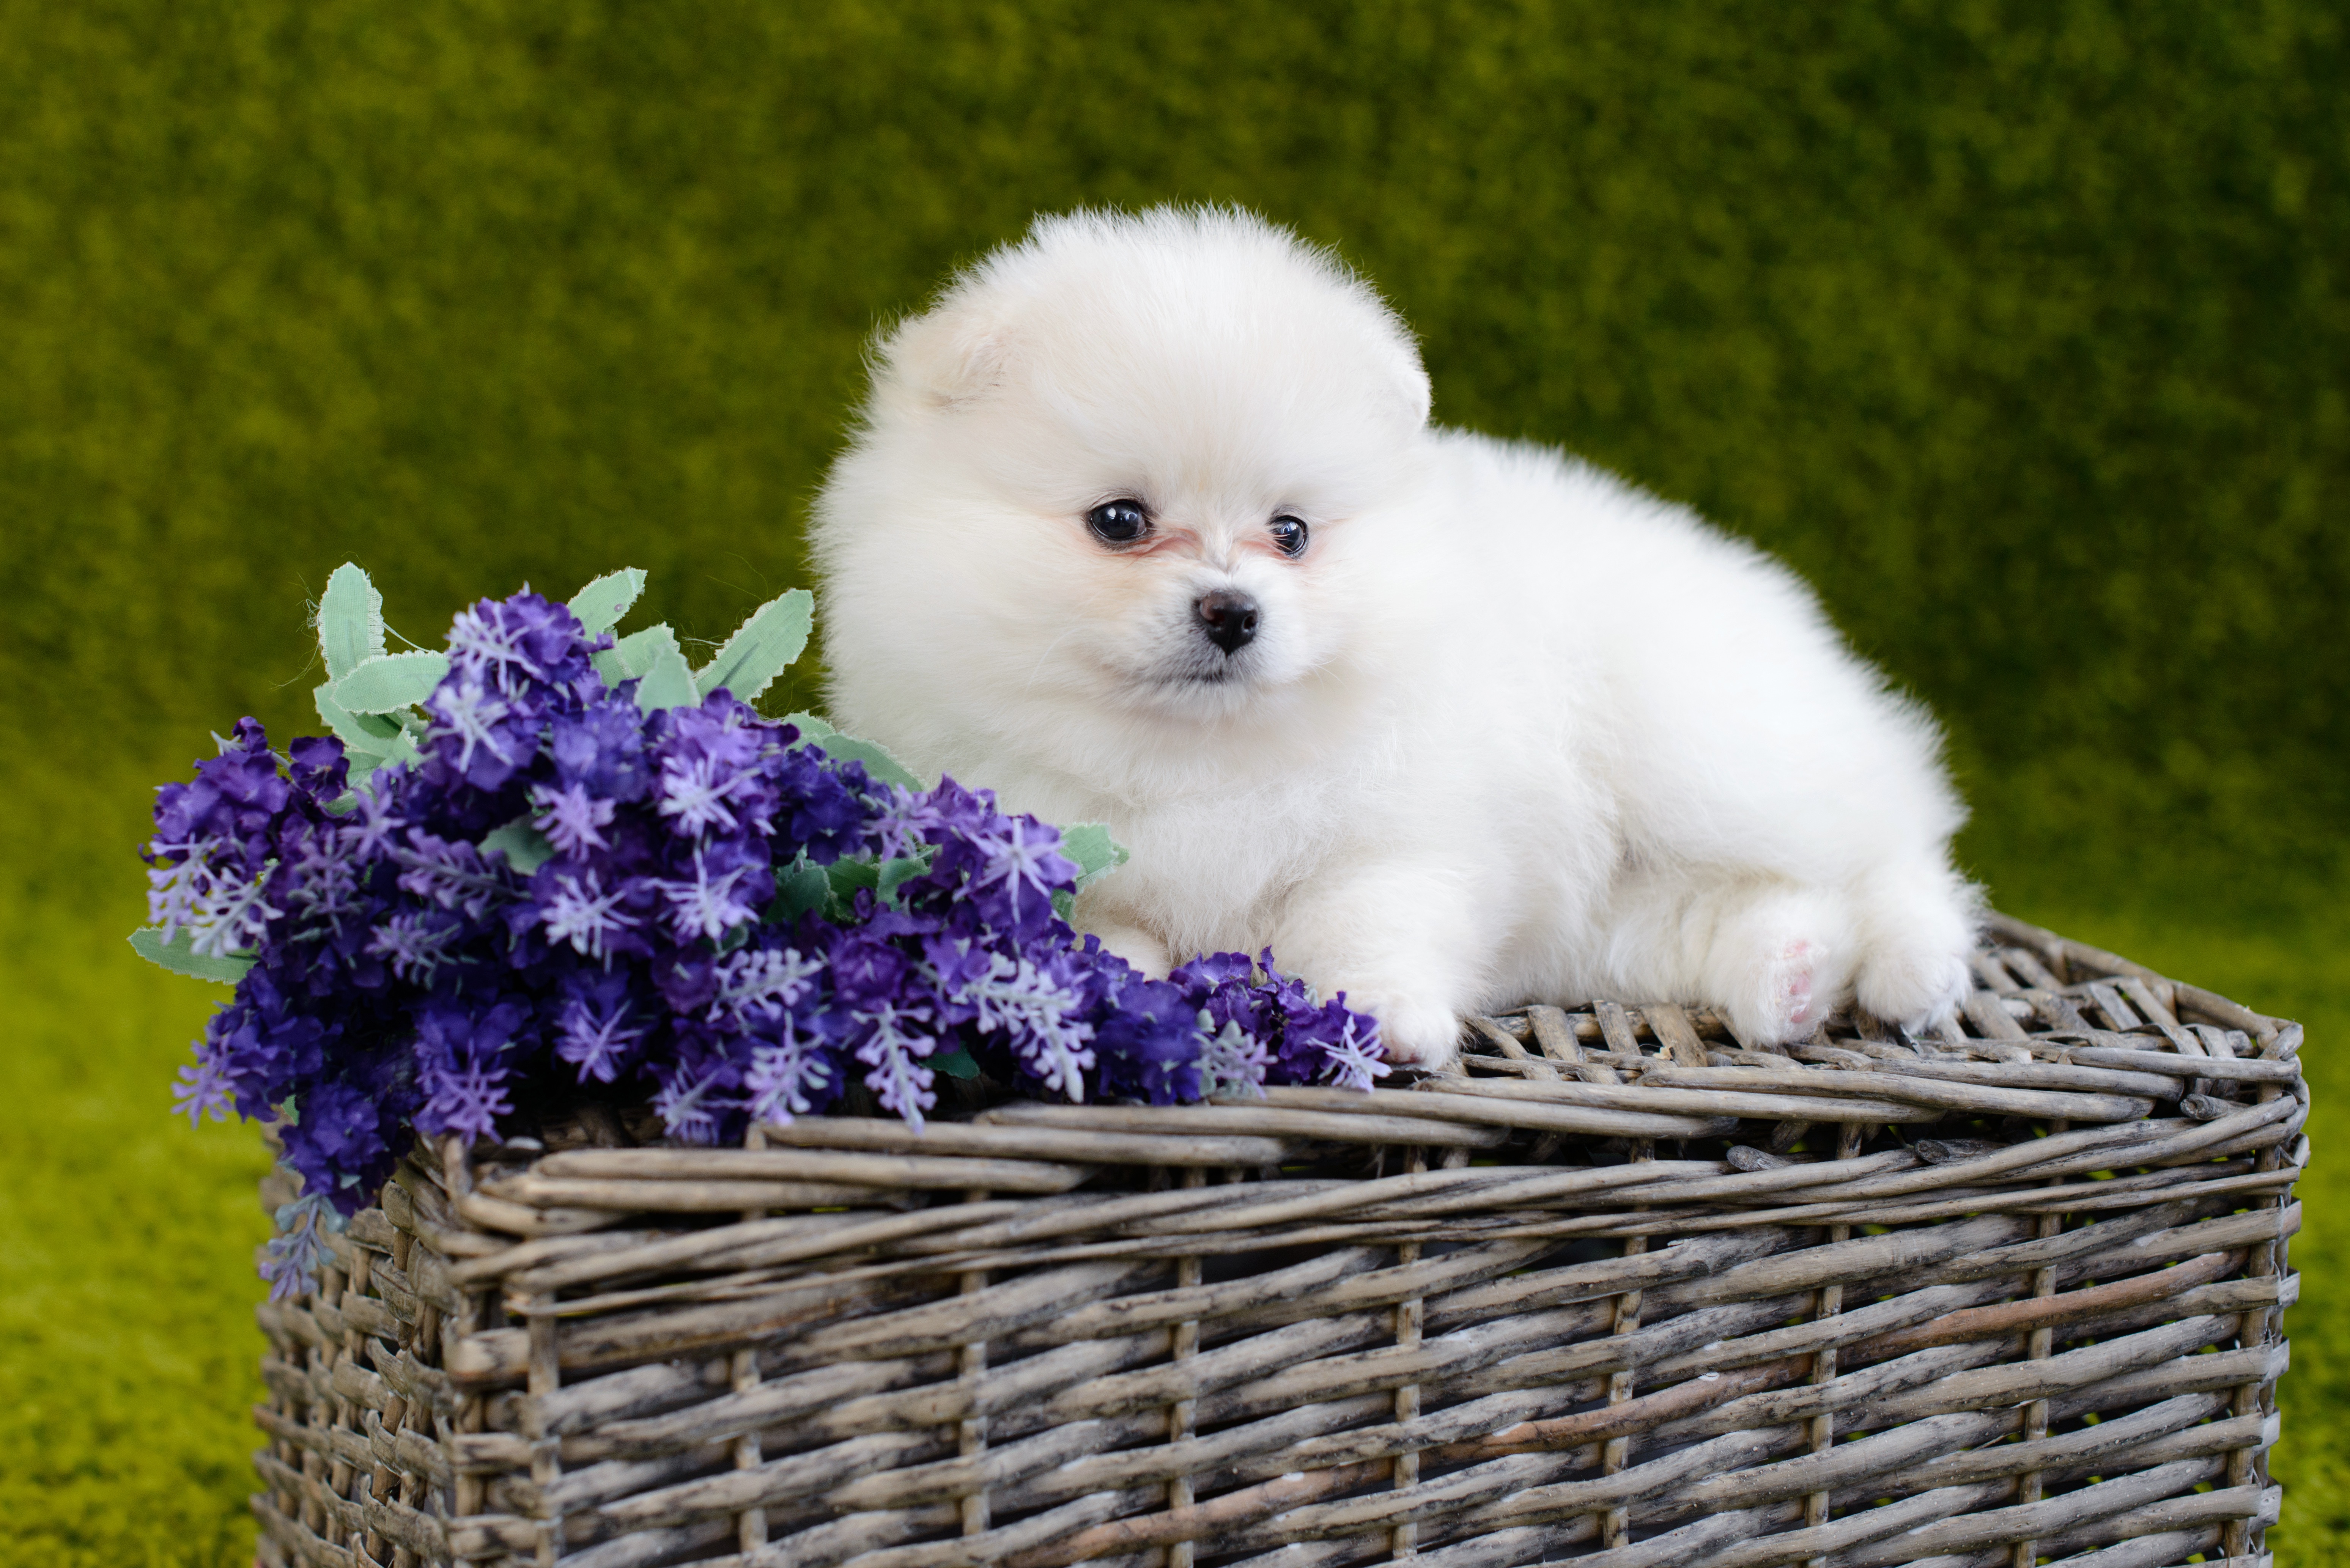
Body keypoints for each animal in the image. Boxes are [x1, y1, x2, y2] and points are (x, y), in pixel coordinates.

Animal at [813, 208, 1983, 1067]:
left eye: (1291, 532)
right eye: (1119, 521)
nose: (1231, 612)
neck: (1200, 756)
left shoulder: (1407, 828)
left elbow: (1365, 914)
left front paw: (1376, 1018)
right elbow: (1109, 936)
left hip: (1709, 753)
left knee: (1893, 840)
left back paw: (1914, 970)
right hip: (1619, 915)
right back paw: (1789, 977)